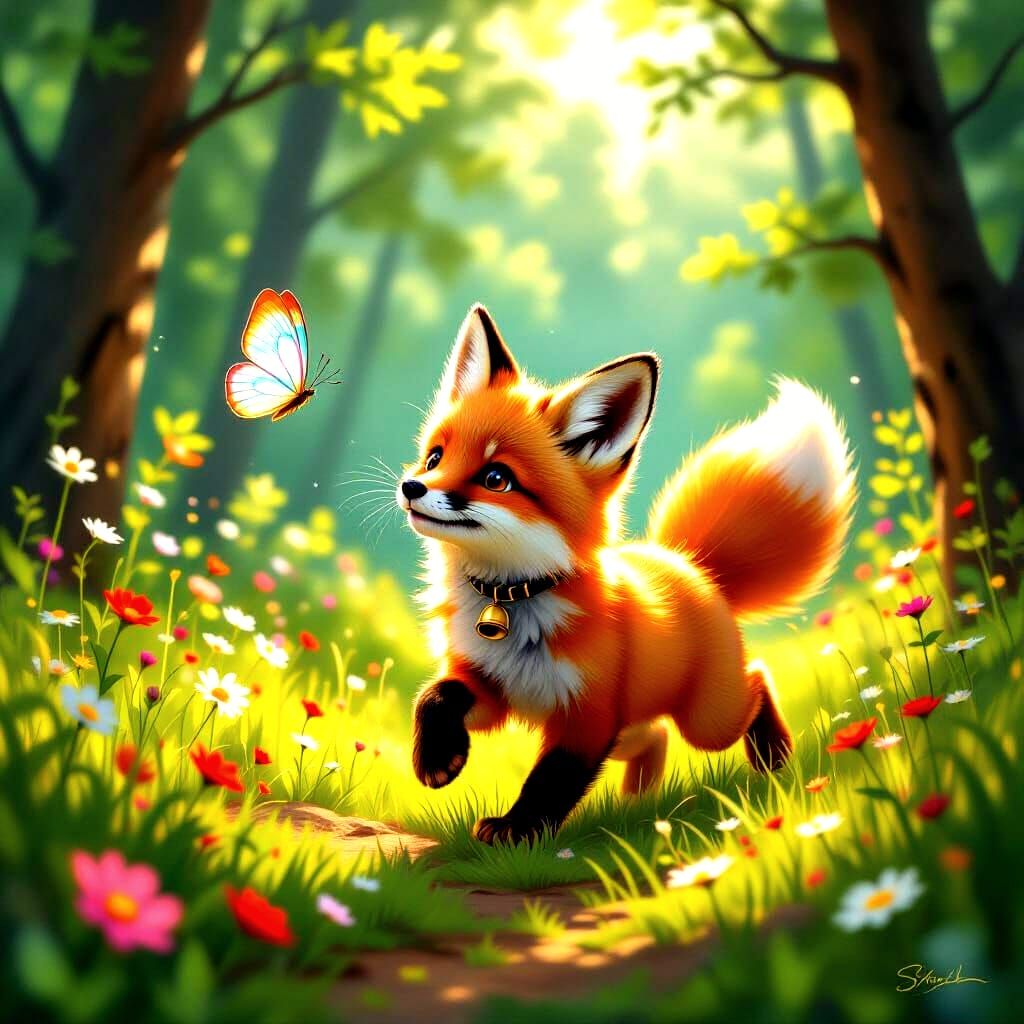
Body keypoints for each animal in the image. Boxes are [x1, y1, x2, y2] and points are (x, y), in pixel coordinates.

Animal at [397, 304, 855, 845]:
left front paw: (516, 831)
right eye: (435, 457)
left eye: (496, 478)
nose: (412, 486)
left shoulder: (588, 716)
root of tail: (693, 564)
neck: (513, 601)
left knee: (759, 680)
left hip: (708, 720)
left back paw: (773, 756)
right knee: (656, 735)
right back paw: (638, 802)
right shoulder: (490, 685)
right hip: (634, 727)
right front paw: (437, 757)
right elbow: (435, 694)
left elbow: (551, 780)